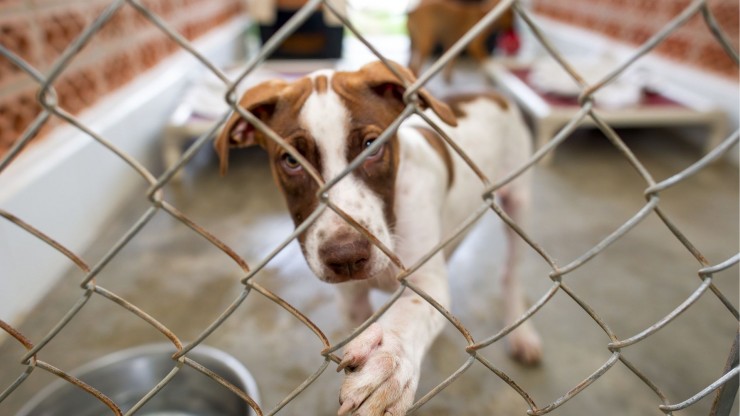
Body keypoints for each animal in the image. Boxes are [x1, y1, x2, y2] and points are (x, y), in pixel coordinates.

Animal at [217, 60, 540, 414]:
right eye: (290, 161)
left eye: (371, 147)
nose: (346, 257)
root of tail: (490, 93)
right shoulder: (351, 299)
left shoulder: (425, 280)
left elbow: (412, 312)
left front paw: (390, 362)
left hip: (519, 202)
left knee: (511, 273)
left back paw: (522, 334)